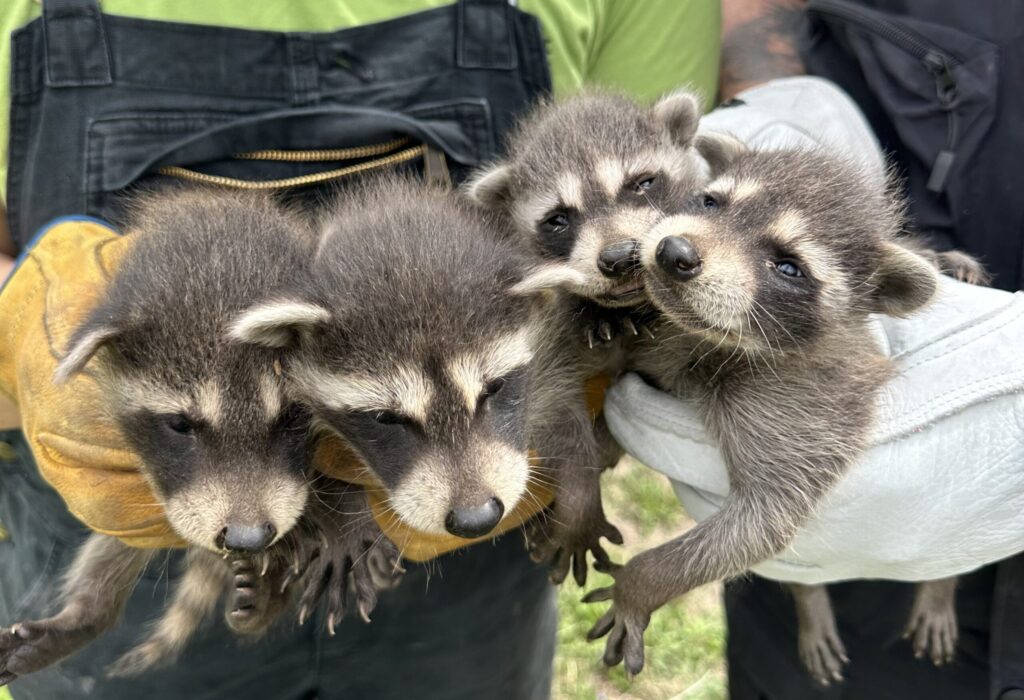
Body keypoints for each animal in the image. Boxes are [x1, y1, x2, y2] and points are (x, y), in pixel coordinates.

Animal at [229, 175, 622, 590]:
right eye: (386, 418)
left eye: (493, 389)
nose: (476, 519)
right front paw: (343, 518)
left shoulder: (547, 354)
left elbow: (566, 421)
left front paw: (579, 503)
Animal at [584, 140, 960, 681]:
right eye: (711, 202)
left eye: (788, 266)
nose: (674, 252)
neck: (710, 338)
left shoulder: (803, 403)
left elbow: (763, 520)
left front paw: (642, 582)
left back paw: (938, 586)